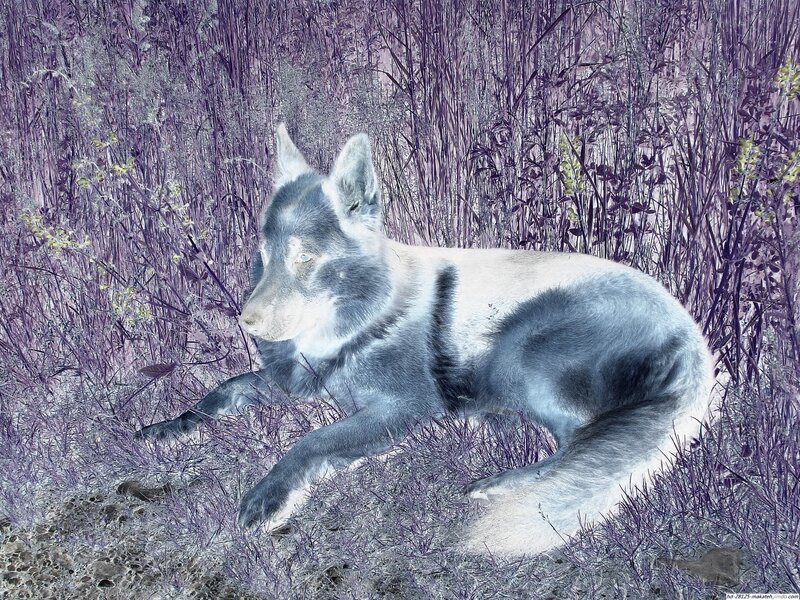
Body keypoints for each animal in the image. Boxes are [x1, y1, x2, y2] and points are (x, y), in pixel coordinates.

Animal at [136, 123, 715, 555]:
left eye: (305, 258)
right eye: (265, 252)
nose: (247, 322)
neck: (360, 312)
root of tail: (691, 338)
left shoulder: (400, 408)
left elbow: (311, 440)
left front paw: (269, 493)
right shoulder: (296, 387)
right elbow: (223, 390)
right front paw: (169, 426)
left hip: (518, 343)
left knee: (579, 443)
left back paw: (503, 478)